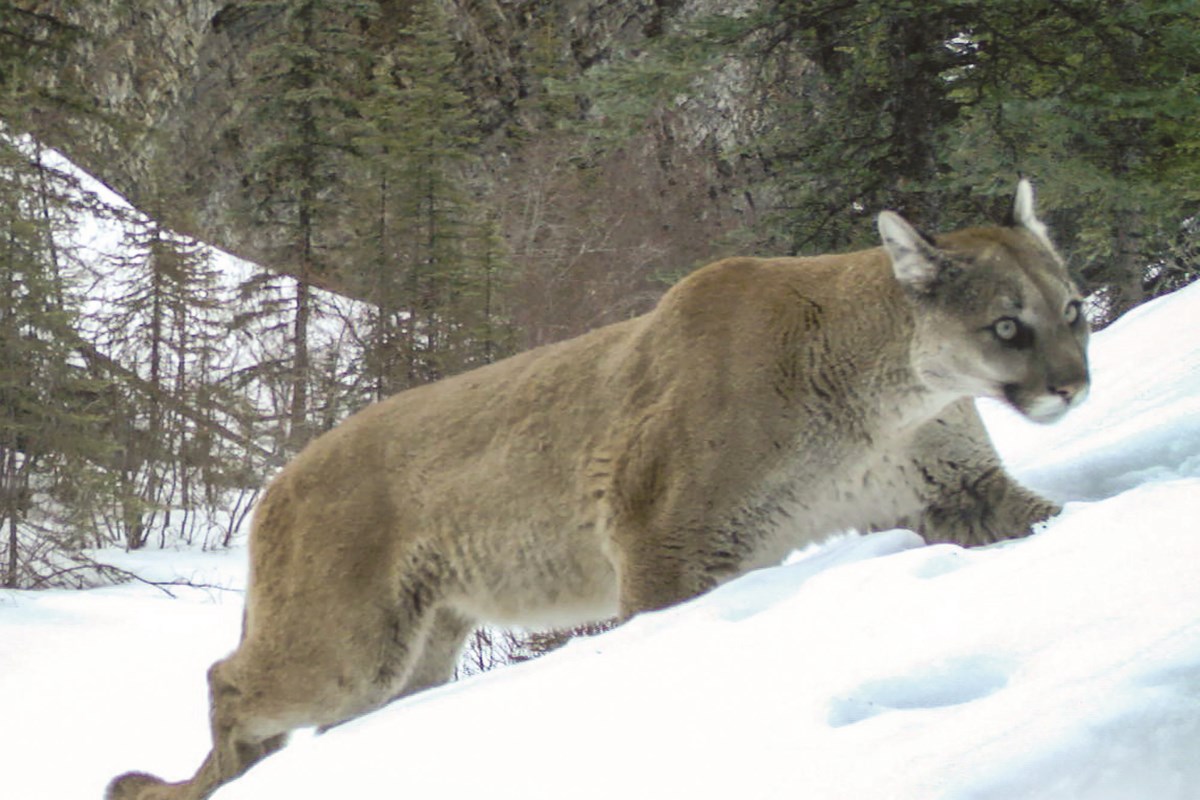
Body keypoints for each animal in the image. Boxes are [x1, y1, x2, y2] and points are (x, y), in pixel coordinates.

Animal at [110, 181, 1089, 800]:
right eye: (1009, 325)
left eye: (1073, 309)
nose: (1076, 385)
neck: (883, 391)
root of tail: (281, 475)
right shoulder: (665, 542)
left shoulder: (956, 493)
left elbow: (1053, 519)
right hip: (347, 649)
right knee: (229, 679)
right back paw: (225, 774)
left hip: (418, 649)